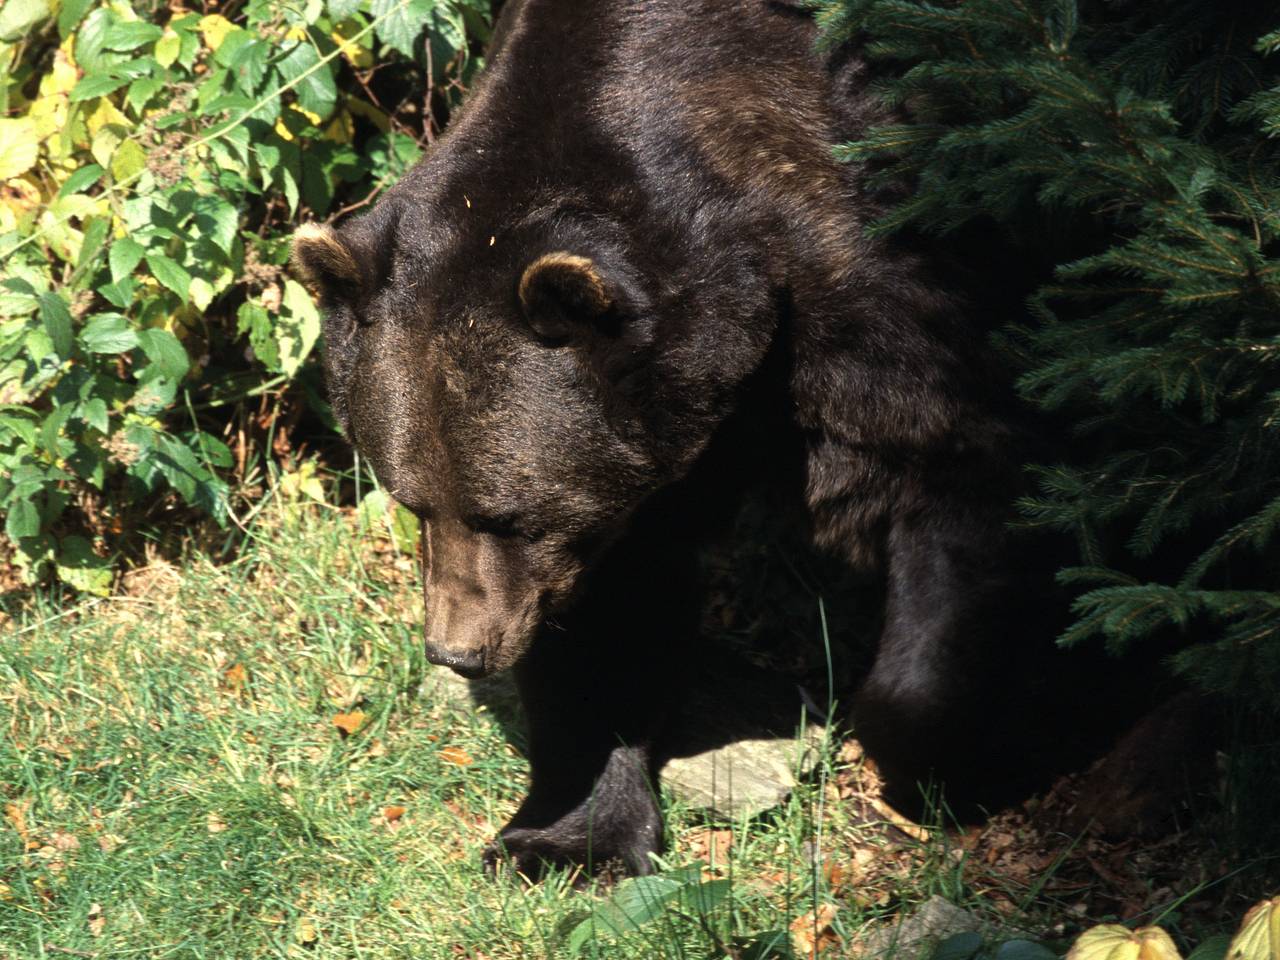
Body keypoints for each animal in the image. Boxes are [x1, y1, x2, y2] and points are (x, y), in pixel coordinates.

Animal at [293, 0, 1103, 878]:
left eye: (510, 514)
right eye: (412, 502)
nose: (459, 652)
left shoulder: (880, 285)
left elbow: (964, 476)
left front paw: (978, 755)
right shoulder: (653, 450)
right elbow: (614, 604)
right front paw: (567, 832)